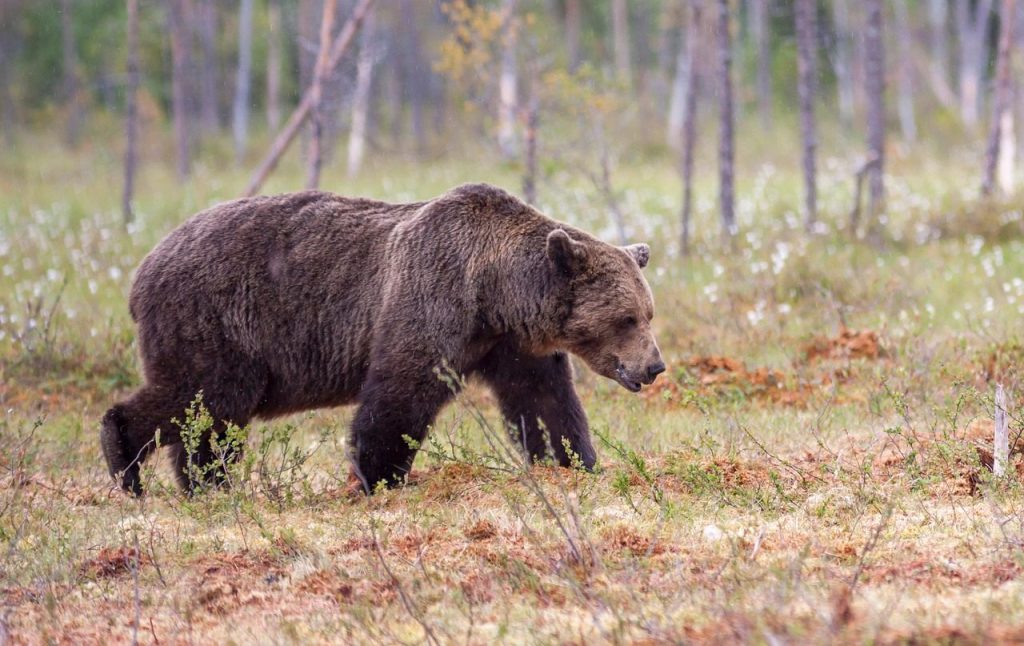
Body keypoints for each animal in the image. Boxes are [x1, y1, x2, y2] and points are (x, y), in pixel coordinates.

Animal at [101, 183, 665, 495]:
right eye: (628, 318)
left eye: (647, 313)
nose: (655, 366)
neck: (495, 291)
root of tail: (142, 268)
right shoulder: (432, 300)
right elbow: (400, 394)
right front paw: (376, 475)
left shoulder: (509, 344)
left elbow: (544, 403)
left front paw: (573, 461)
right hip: (217, 321)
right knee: (206, 397)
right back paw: (127, 460)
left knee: (205, 418)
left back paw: (201, 483)